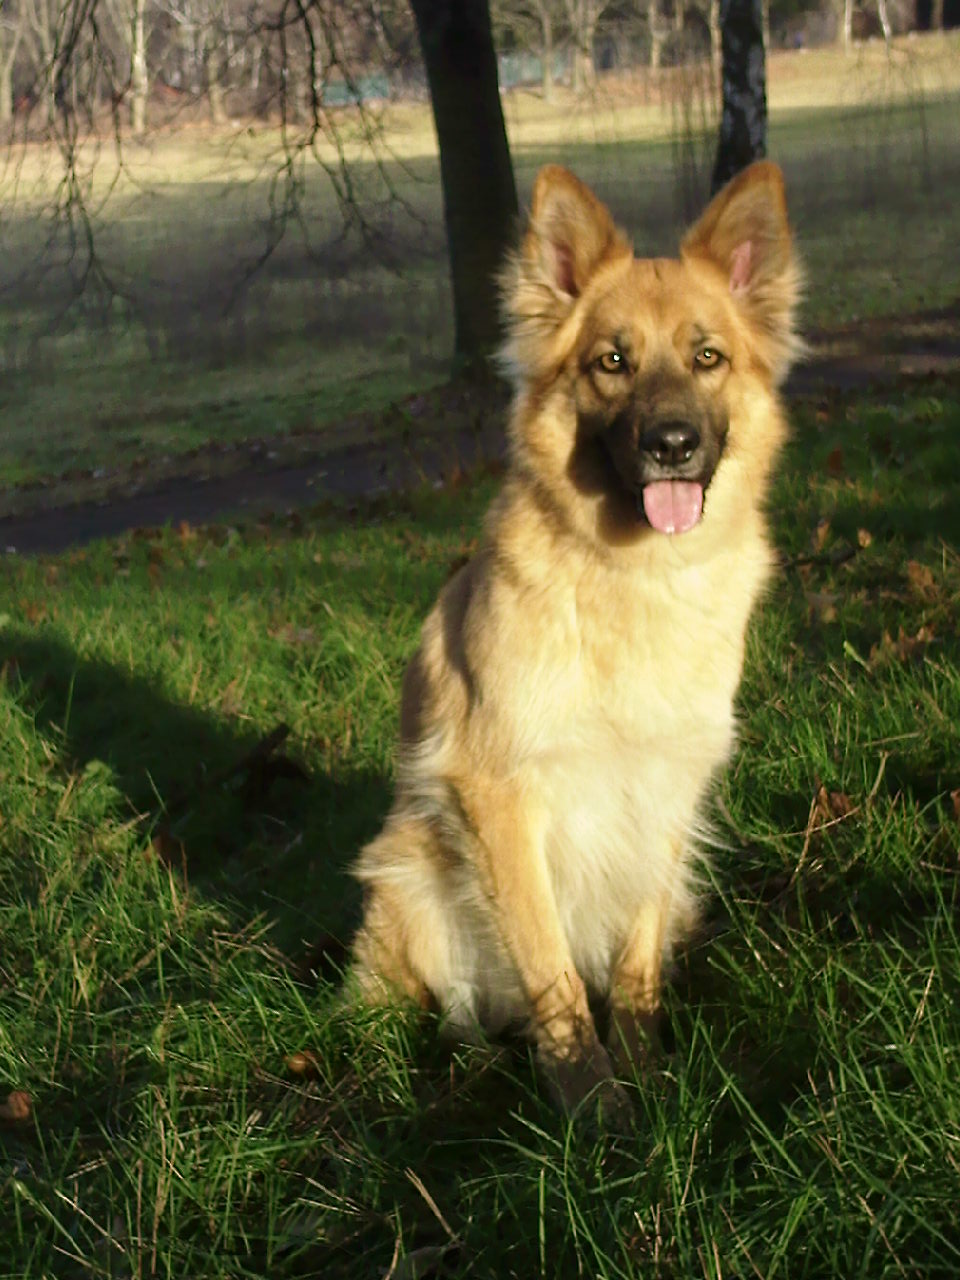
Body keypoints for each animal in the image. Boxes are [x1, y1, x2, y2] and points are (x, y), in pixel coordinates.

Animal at [350, 161, 801, 1120]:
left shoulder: (666, 792)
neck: (634, 577)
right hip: (413, 876)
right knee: (438, 1009)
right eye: (611, 362)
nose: (672, 444)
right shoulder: (497, 795)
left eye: (707, 356)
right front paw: (593, 1111)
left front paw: (646, 1074)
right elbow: (551, 973)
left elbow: (633, 965)